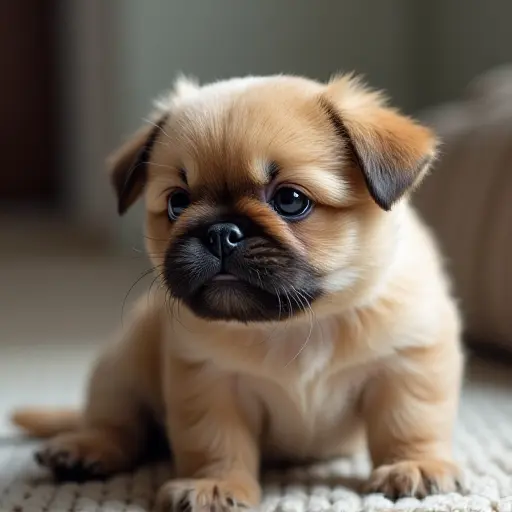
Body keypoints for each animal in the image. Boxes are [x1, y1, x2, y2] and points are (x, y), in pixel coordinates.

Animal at [14, 74, 466, 510]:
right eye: (177, 203)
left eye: (290, 200)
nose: (220, 232)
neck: (296, 325)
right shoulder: (210, 383)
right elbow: (216, 444)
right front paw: (215, 485)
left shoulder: (407, 365)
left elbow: (409, 423)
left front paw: (413, 464)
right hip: (121, 370)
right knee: (117, 425)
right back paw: (85, 449)